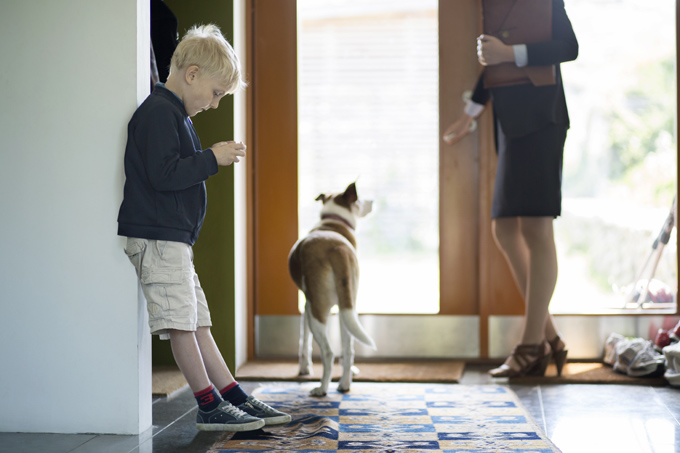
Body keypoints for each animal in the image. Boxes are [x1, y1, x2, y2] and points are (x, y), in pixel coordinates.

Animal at [288, 182, 378, 394]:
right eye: (360, 200)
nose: (372, 201)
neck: (333, 222)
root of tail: (338, 248)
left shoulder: (307, 306)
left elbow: (304, 341)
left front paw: (304, 369)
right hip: (348, 306)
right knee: (348, 349)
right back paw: (344, 384)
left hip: (317, 311)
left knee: (328, 352)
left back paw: (322, 388)